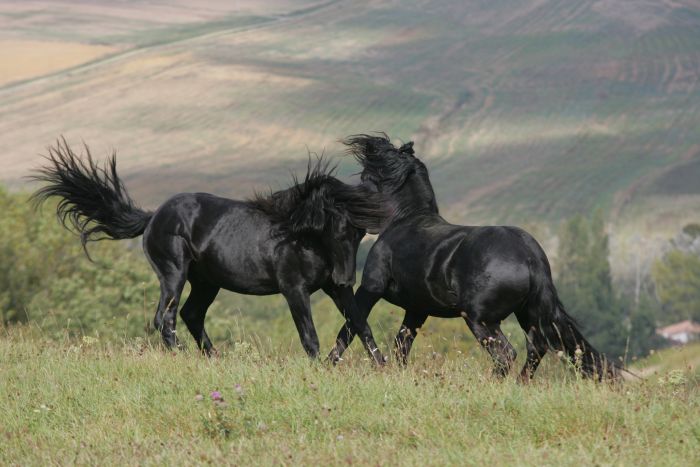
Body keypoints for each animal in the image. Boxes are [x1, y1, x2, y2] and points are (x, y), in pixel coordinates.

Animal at [30, 139, 386, 362]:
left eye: (360, 233)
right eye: (334, 229)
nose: (345, 277)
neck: (303, 238)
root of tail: (153, 216)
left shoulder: (333, 290)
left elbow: (359, 324)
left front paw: (381, 364)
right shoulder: (294, 289)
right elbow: (309, 334)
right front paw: (317, 367)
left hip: (206, 282)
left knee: (190, 314)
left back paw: (213, 357)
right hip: (174, 274)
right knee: (166, 317)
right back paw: (184, 356)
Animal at [328, 134, 616, 380]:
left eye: (366, 175)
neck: (405, 221)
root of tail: (529, 256)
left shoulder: (370, 288)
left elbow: (350, 328)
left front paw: (326, 365)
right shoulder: (417, 308)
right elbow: (401, 344)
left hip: (480, 318)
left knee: (506, 354)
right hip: (527, 314)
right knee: (537, 348)